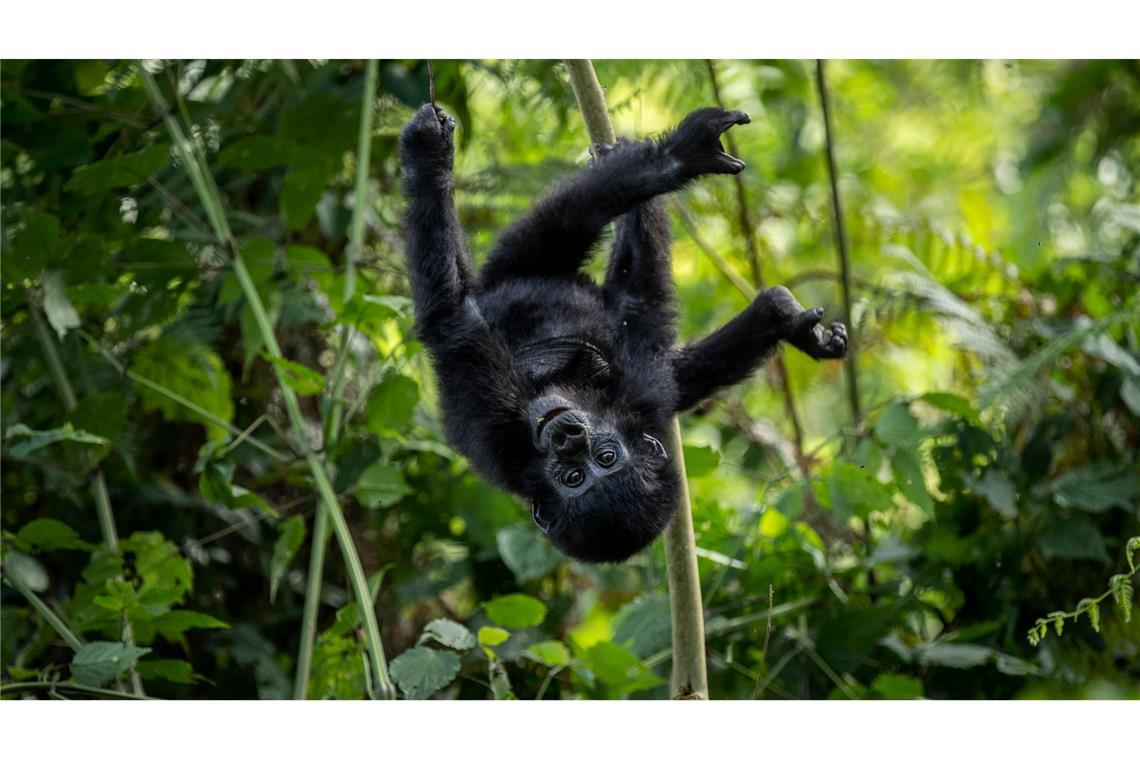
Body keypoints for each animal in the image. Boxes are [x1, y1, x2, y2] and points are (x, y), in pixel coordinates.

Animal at [399, 102, 848, 565]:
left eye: (605, 458)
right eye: (573, 477)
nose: (567, 438)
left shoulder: (640, 398)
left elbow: (452, 317)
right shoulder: (497, 431)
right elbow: (453, 317)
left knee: (571, 224)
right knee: (570, 224)